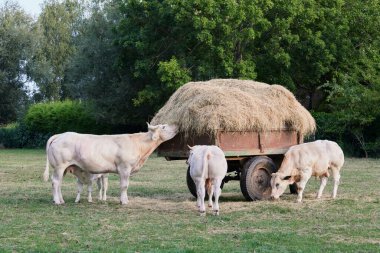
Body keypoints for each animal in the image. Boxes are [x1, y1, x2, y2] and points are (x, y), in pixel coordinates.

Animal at [43, 124, 177, 206]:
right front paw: (124, 201)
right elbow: (124, 186)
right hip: (60, 166)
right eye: (164, 126)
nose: (176, 126)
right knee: (55, 182)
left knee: (59, 183)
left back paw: (61, 200)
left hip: (64, 168)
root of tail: (60, 135)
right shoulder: (124, 168)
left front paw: (125, 200)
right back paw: (57, 201)